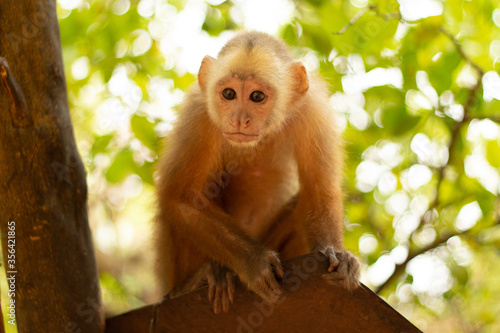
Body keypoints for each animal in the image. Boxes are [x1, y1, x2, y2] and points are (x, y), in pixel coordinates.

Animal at [156, 29, 360, 312]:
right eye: (228, 94)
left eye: (257, 96)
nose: (240, 120)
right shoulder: (197, 113)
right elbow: (181, 198)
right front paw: (254, 262)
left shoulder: (313, 109)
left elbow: (319, 188)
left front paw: (336, 254)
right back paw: (199, 280)